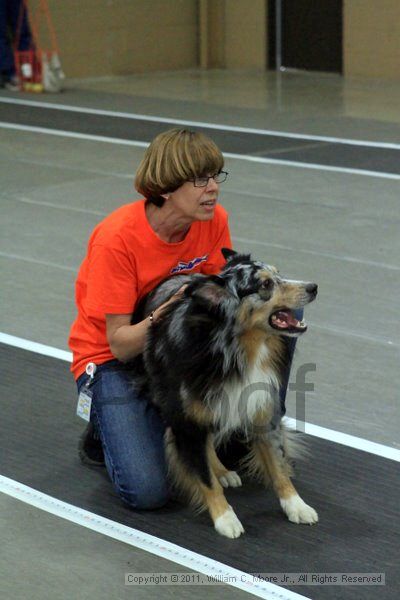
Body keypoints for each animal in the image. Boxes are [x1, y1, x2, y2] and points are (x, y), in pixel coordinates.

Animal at [134, 248, 318, 540]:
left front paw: (296, 505)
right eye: (266, 284)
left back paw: (222, 470)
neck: (234, 346)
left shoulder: (261, 408)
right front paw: (225, 517)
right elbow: (205, 478)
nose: (313, 287)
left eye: (278, 274)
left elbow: (278, 465)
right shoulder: (187, 420)